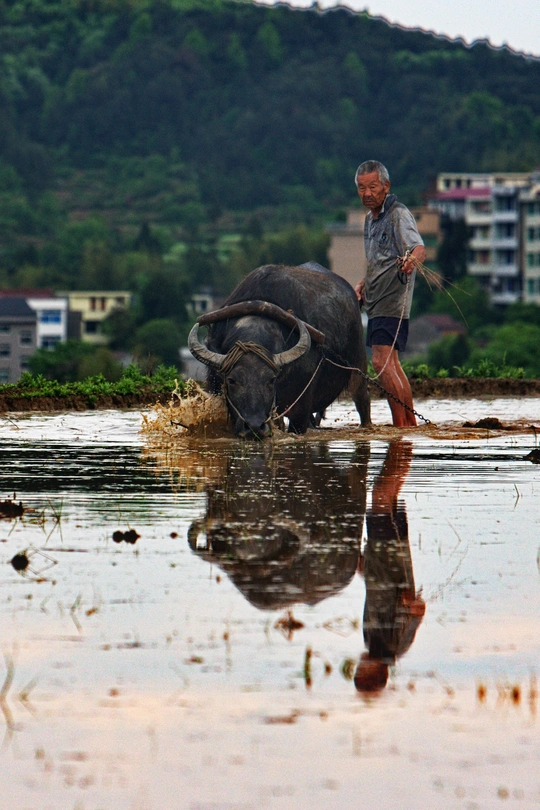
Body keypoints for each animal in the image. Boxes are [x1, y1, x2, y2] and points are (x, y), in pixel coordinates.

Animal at [188, 263, 371, 438]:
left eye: (271, 380)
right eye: (232, 380)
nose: (255, 426)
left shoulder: (300, 412)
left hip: (359, 367)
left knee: (362, 399)